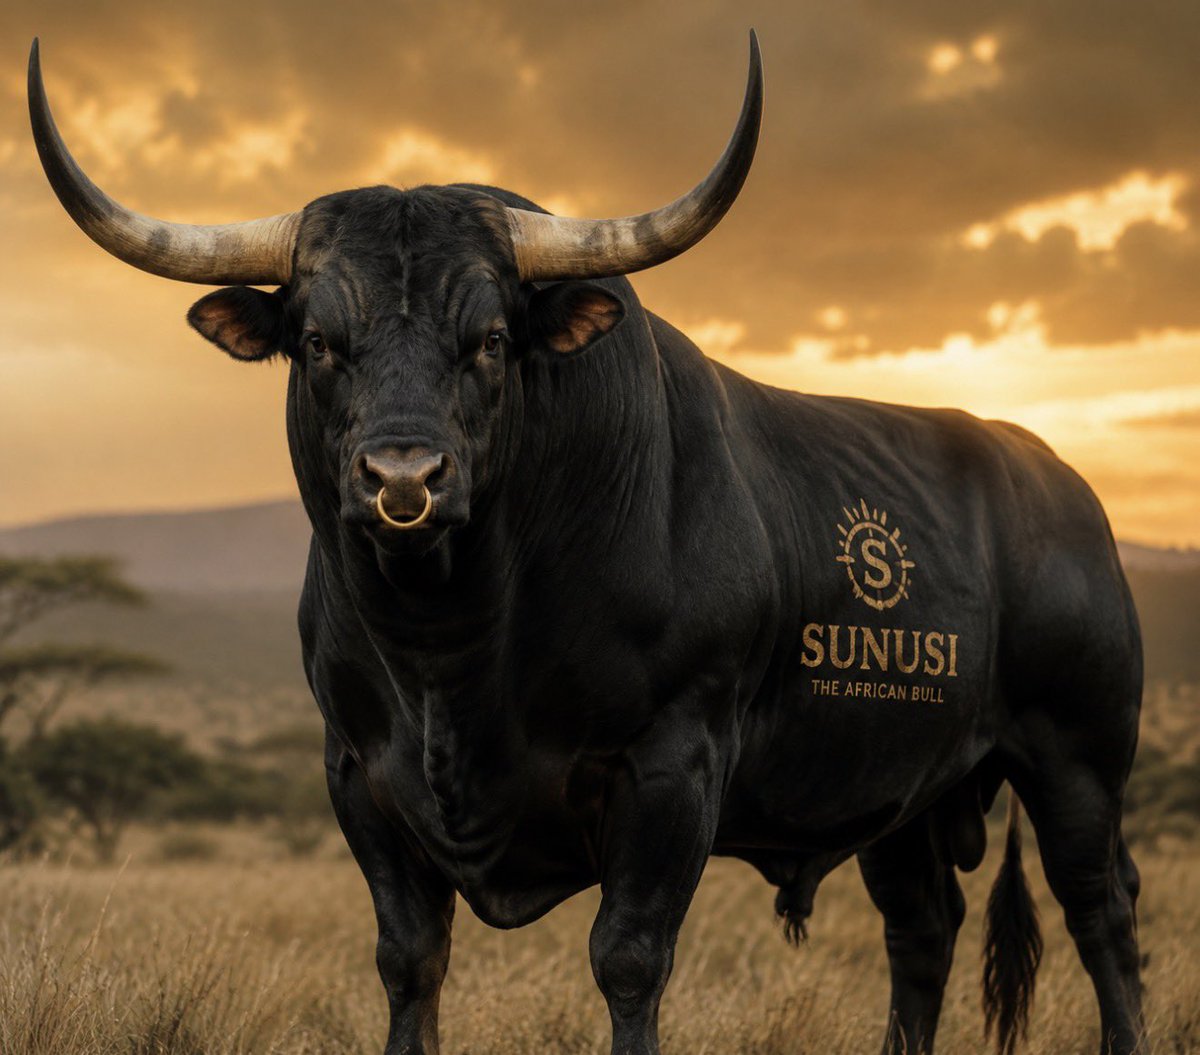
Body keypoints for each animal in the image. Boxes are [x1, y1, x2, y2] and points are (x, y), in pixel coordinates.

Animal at [28, 32, 1145, 1055]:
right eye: (316, 343)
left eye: (489, 340)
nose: (403, 481)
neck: (451, 650)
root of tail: (1058, 481)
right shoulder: (359, 777)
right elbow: (408, 958)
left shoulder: (672, 769)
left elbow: (628, 956)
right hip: (902, 792)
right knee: (924, 928)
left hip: (1079, 759)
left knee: (1105, 912)